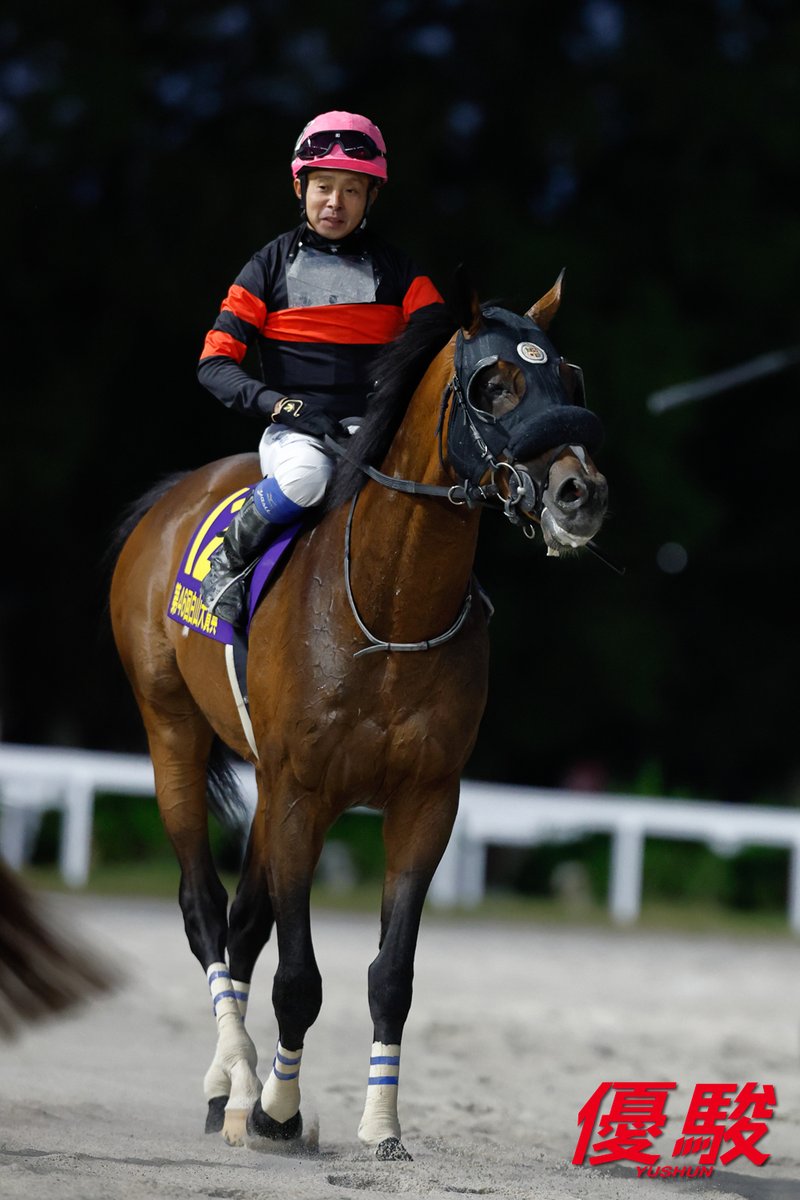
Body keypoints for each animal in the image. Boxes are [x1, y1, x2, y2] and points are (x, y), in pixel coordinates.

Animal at [109, 275, 608, 1160]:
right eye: (494, 384)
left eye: (571, 380)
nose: (579, 494)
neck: (390, 611)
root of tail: (170, 499)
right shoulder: (302, 796)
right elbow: (299, 977)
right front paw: (277, 1111)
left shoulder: (425, 801)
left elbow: (390, 976)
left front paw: (381, 1126)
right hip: (171, 731)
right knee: (205, 910)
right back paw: (239, 1083)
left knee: (243, 921)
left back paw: (228, 1090)